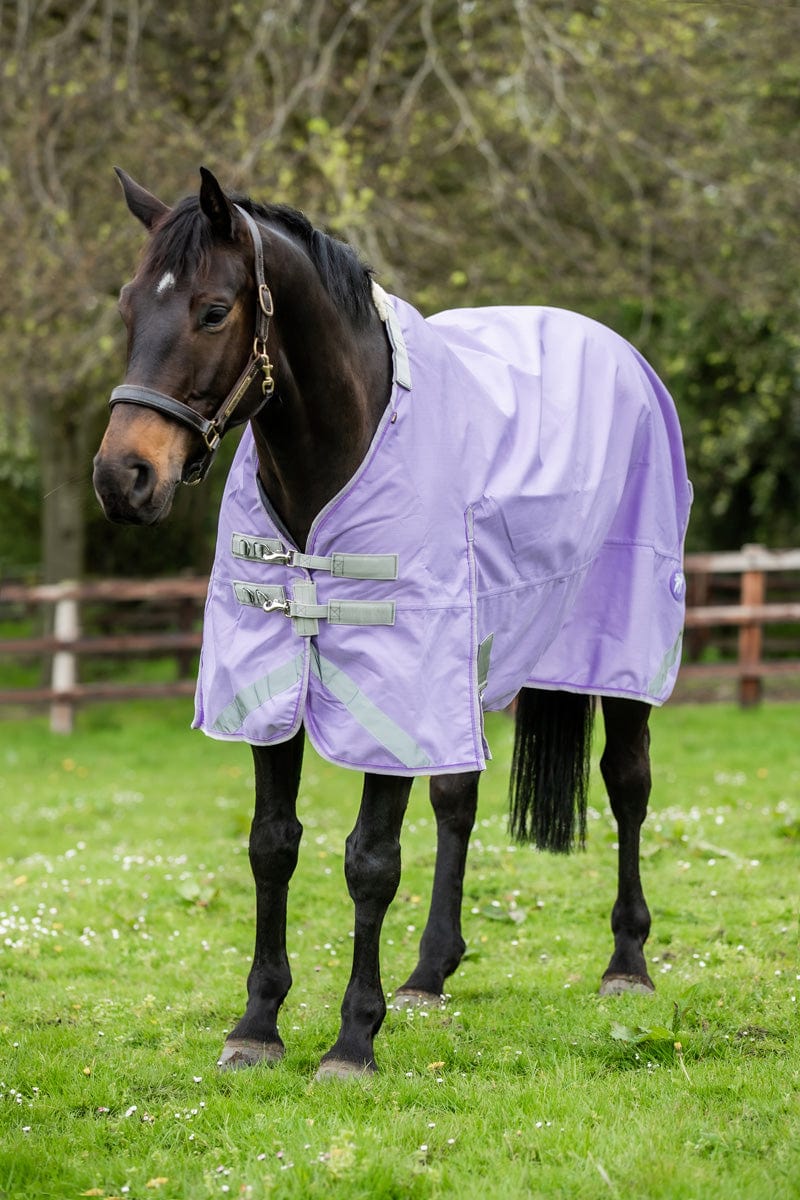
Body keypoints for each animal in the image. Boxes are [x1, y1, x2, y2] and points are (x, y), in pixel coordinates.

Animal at [93, 167, 691, 1079]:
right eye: (129, 306)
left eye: (213, 311)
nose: (124, 477)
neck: (342, 450)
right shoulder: (276, 683)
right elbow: (273, 844)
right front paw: (257, 1025)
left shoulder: (394, 680)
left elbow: (370, 861)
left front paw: (351, 1040)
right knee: (457, 800)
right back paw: (429, 972)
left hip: (621, 647)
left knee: (628, 785)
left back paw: (627, 963)